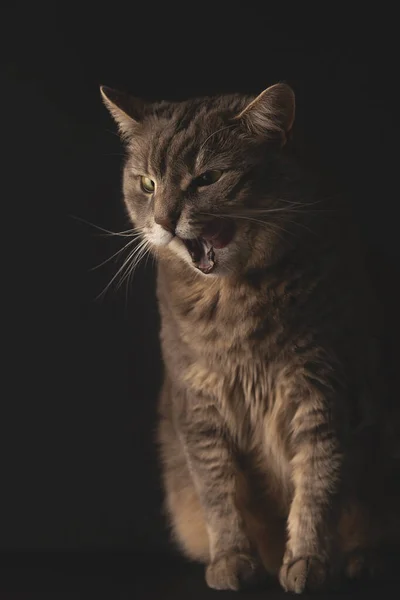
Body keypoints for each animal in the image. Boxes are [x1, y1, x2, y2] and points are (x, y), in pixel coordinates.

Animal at [101, 82, 400, 592]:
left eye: (207, 178)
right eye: (148, 184)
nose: (163, 221)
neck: (236, 299)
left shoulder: (324, 392)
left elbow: (318, 485)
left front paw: (306, 562)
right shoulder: (198, 406)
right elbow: (218, 494)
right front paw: (232, 559)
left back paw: (366, 559)